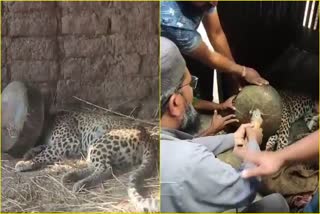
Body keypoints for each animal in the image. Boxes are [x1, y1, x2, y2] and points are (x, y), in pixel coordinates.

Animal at [15, 111, 160, 213]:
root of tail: (147, 136)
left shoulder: (67, 143)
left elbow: (45, 153)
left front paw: (25, 163)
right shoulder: (57, 144)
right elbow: (43, 147)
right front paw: (28, 153)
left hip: (101, 142)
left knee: (105, 169)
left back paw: (80, 183)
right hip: (96, 148)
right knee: (97, 166)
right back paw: (70, 176)